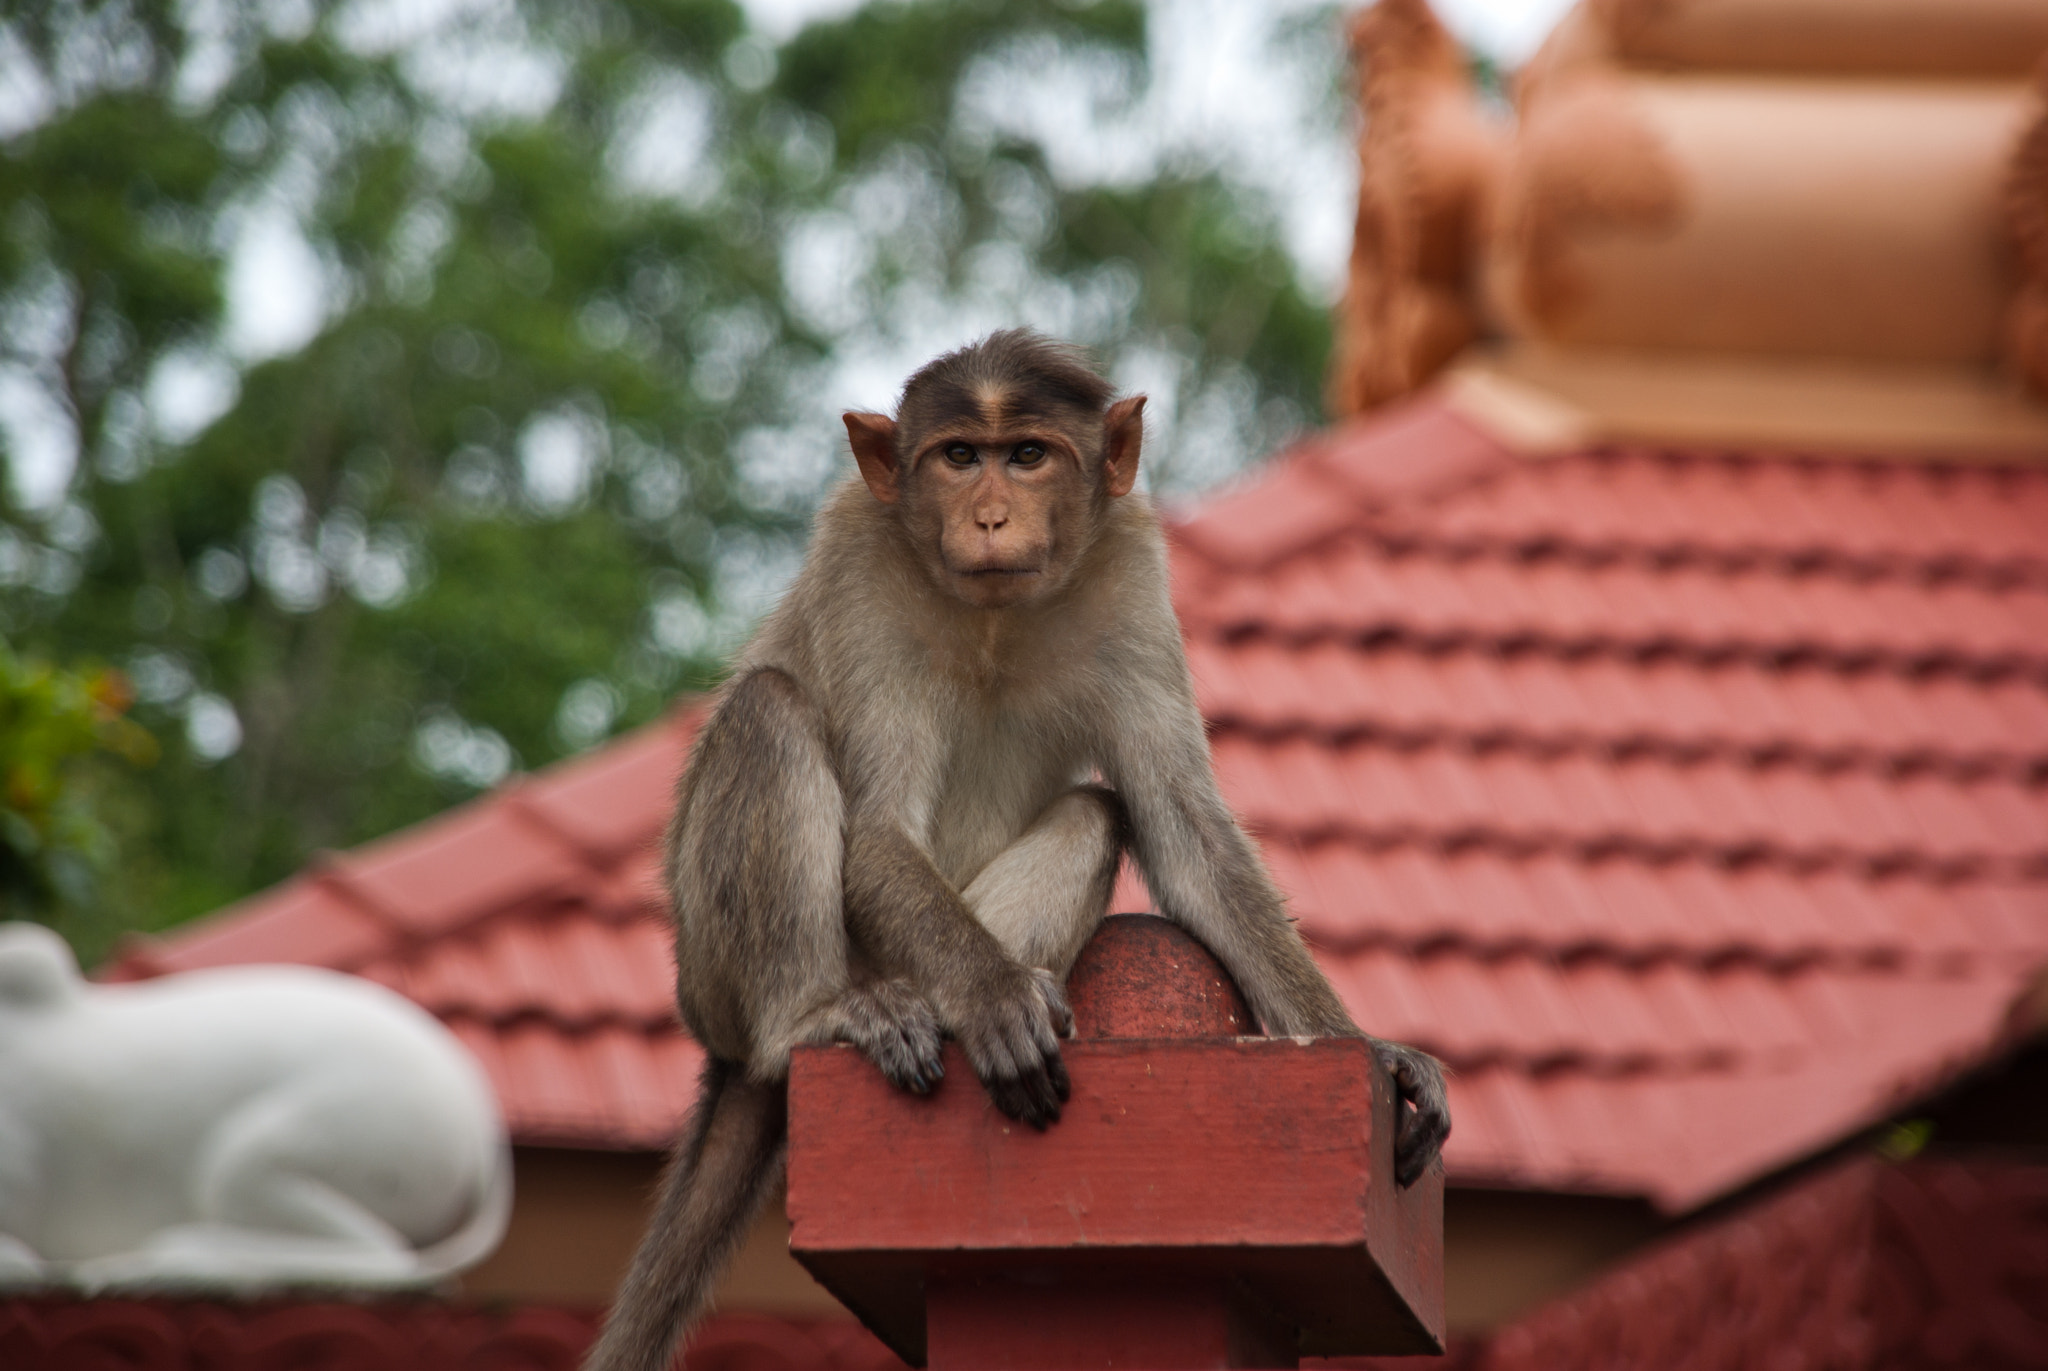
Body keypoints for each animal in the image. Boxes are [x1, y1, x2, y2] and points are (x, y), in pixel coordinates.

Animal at [585, 331, 1449, 1368]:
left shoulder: (1130, 572)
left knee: (1096, 812)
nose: (991, 516)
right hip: (712, 973)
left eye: (1028, 455)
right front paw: (994, 997)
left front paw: (1375, 1050)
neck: (994, 612)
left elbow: (1184, 830)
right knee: (769, 711)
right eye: (960, 457)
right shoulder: (860, 565)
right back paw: (819, 1017)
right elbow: (878, 832)